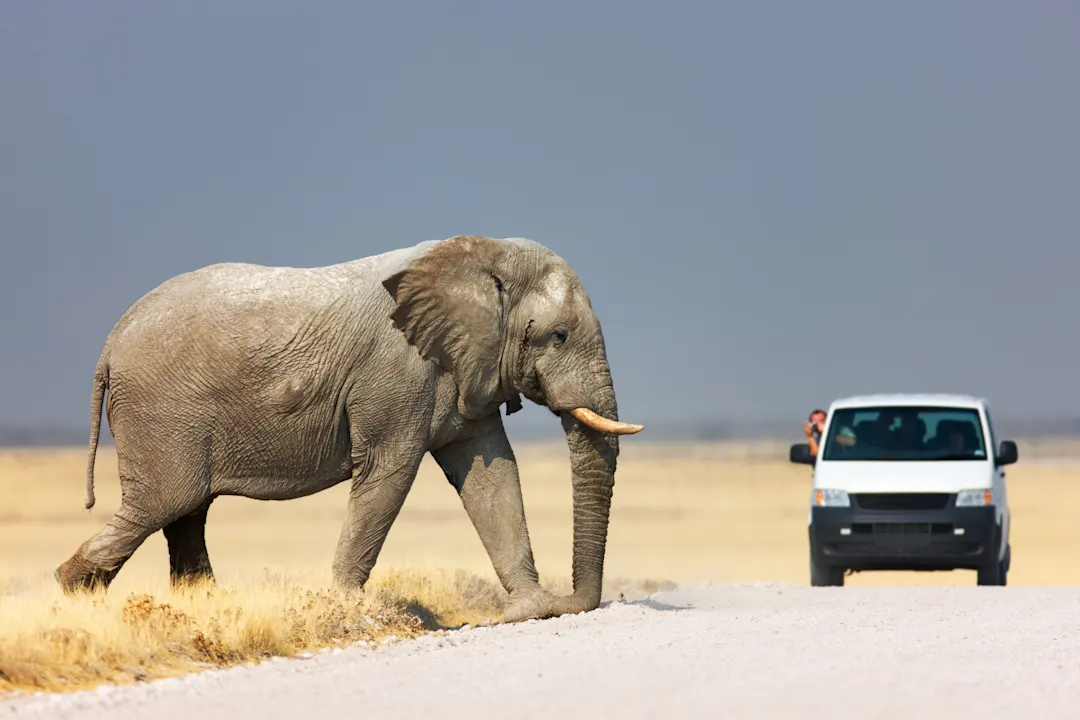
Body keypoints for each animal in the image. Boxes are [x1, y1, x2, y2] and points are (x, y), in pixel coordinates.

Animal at [55, 234, 643, 623]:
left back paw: (200, 604)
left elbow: (491, 474)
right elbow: (390, 473)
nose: (572, 603)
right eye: (559, 336)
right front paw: (346, 607)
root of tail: (109, 346)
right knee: (164, 503)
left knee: (185, 512)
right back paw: (71, 597)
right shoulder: (397, 373)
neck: (481, 255)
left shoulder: (462, 368)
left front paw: (529, 612)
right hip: (161, 413)